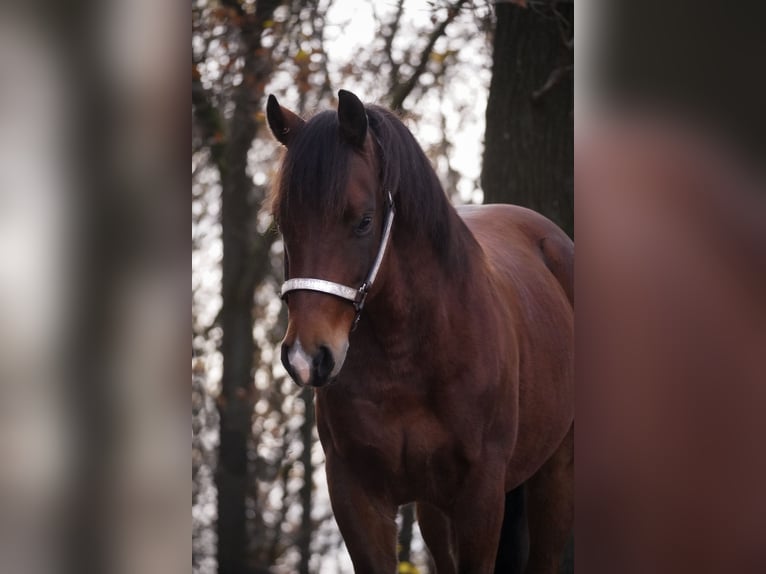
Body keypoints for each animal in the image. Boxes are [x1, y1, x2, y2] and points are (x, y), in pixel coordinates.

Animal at [266, 89, 574, 574]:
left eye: (364, 221)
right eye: (283, 223)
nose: (306, 357)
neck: (408, 357)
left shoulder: (481, 495)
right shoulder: (356, 495)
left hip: (556, 473)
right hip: (433, 509)